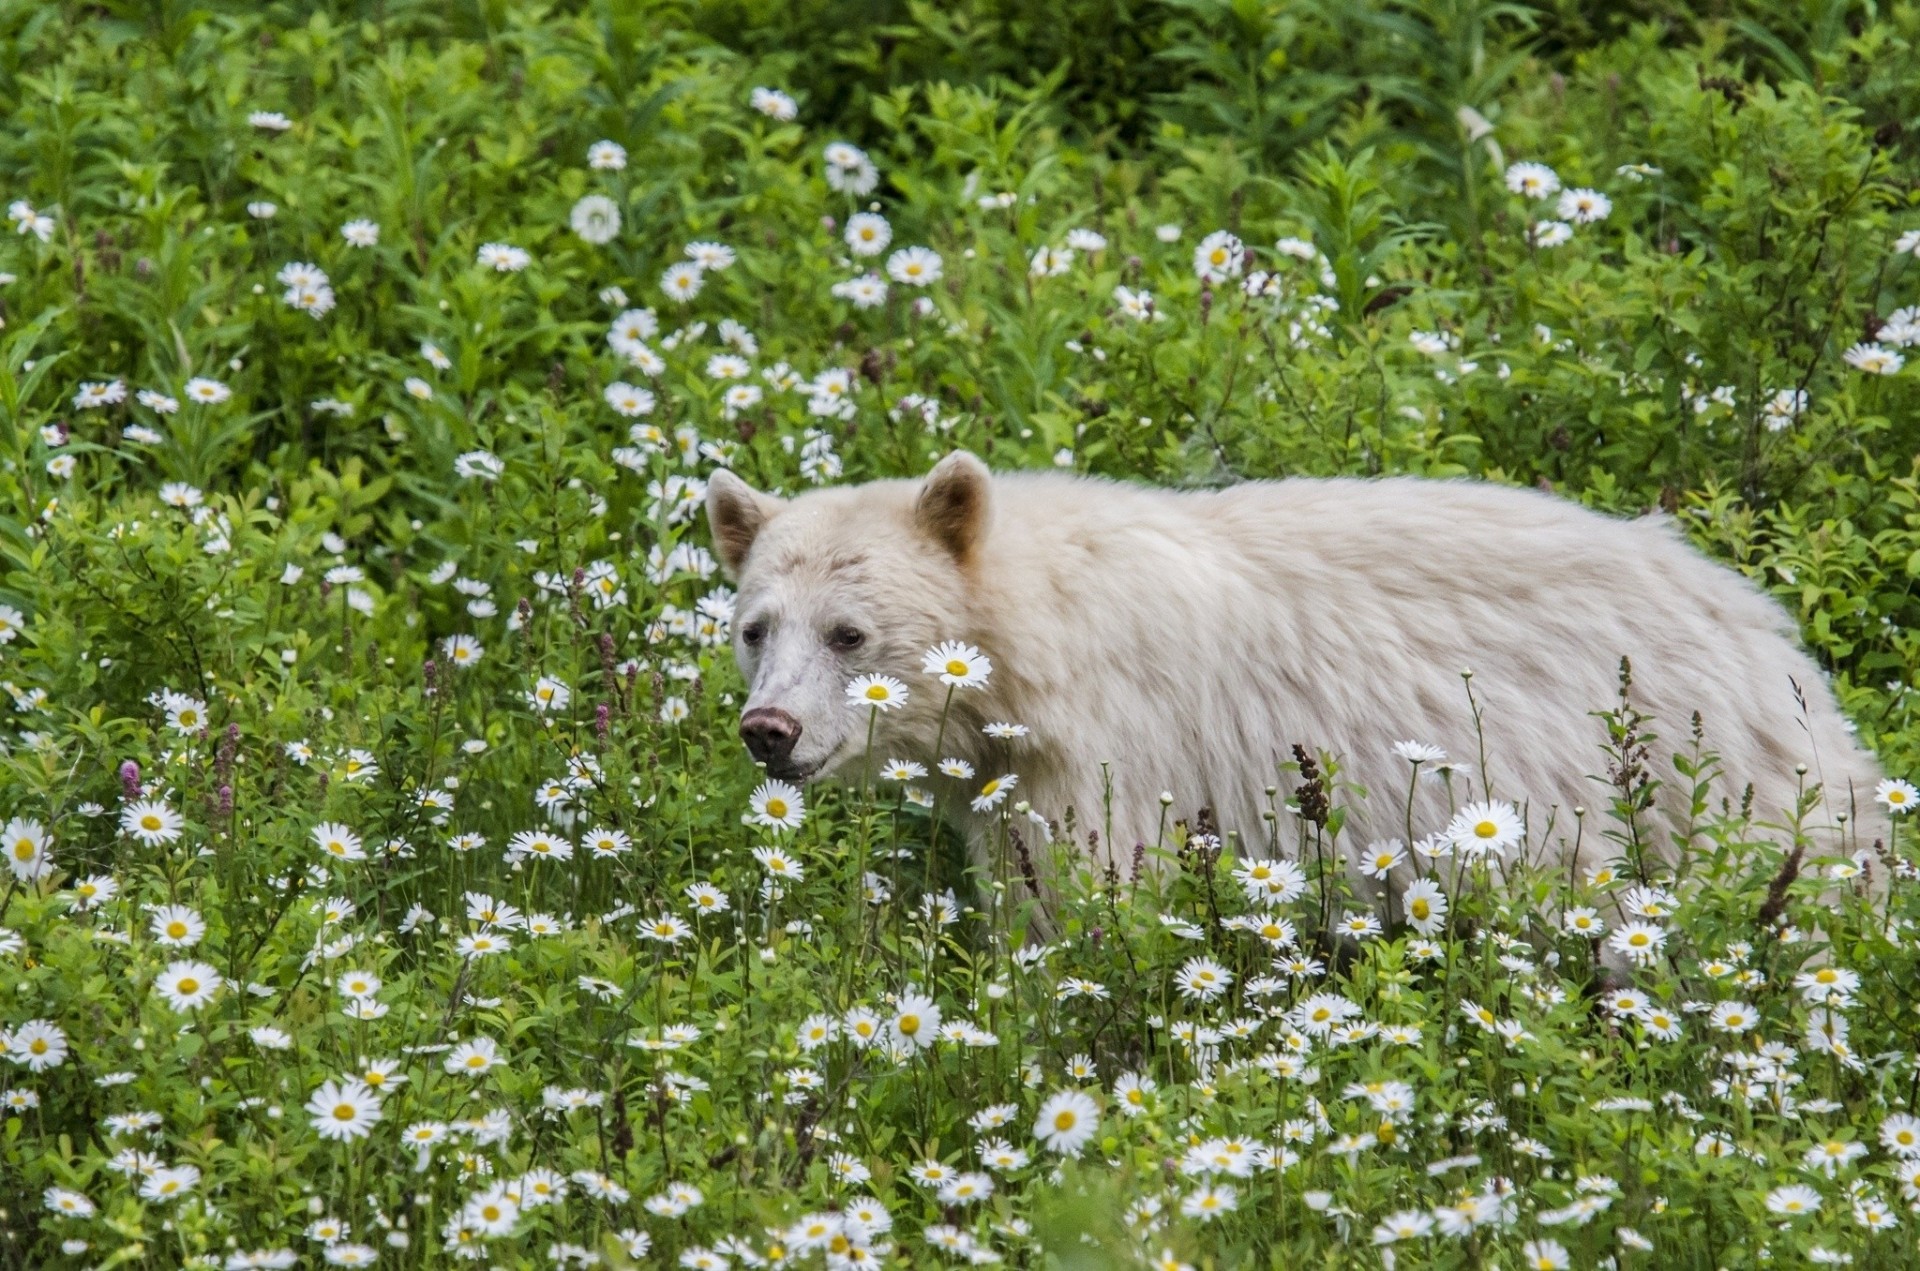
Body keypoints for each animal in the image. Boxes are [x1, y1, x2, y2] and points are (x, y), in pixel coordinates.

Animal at [703, 451, 1888, 892]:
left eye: (849, 633)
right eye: (757, 626)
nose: (769, 731)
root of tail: (1768, 631)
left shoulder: (1123, 759)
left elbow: (1090, 898)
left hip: (1696, 785)